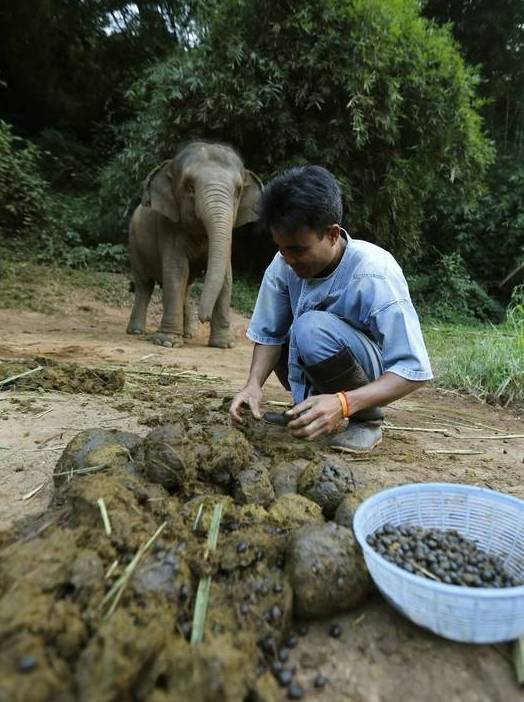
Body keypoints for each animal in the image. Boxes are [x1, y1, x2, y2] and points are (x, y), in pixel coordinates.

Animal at [127, 143, 262, 350]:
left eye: (238, 191)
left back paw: (188, 334)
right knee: (144, 285)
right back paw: (136, 331)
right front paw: (167, 342)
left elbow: (226, 277)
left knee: (186, 286)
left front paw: (224, 345)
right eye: (189, 187)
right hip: (135, 244)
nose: (204, 319)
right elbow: (176, 270)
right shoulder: (169, 227)